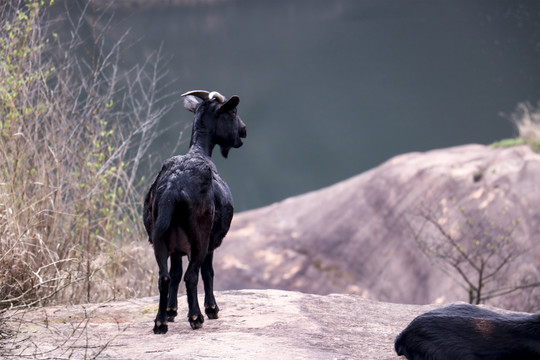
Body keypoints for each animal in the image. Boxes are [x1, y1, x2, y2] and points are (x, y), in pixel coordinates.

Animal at [141, 89, 247, 332]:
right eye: (233, 112)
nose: (244, 131)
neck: (200, 151)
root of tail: (173, 188)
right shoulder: (211, 241)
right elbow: (207, 272)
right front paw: (212, 309)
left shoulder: (175, 247)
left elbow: (175, 272)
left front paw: (171, 311)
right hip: (199, 236)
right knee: (192, 275)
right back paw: (196, 317)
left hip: (159, 236)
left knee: (164, 277)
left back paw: (160, 323)